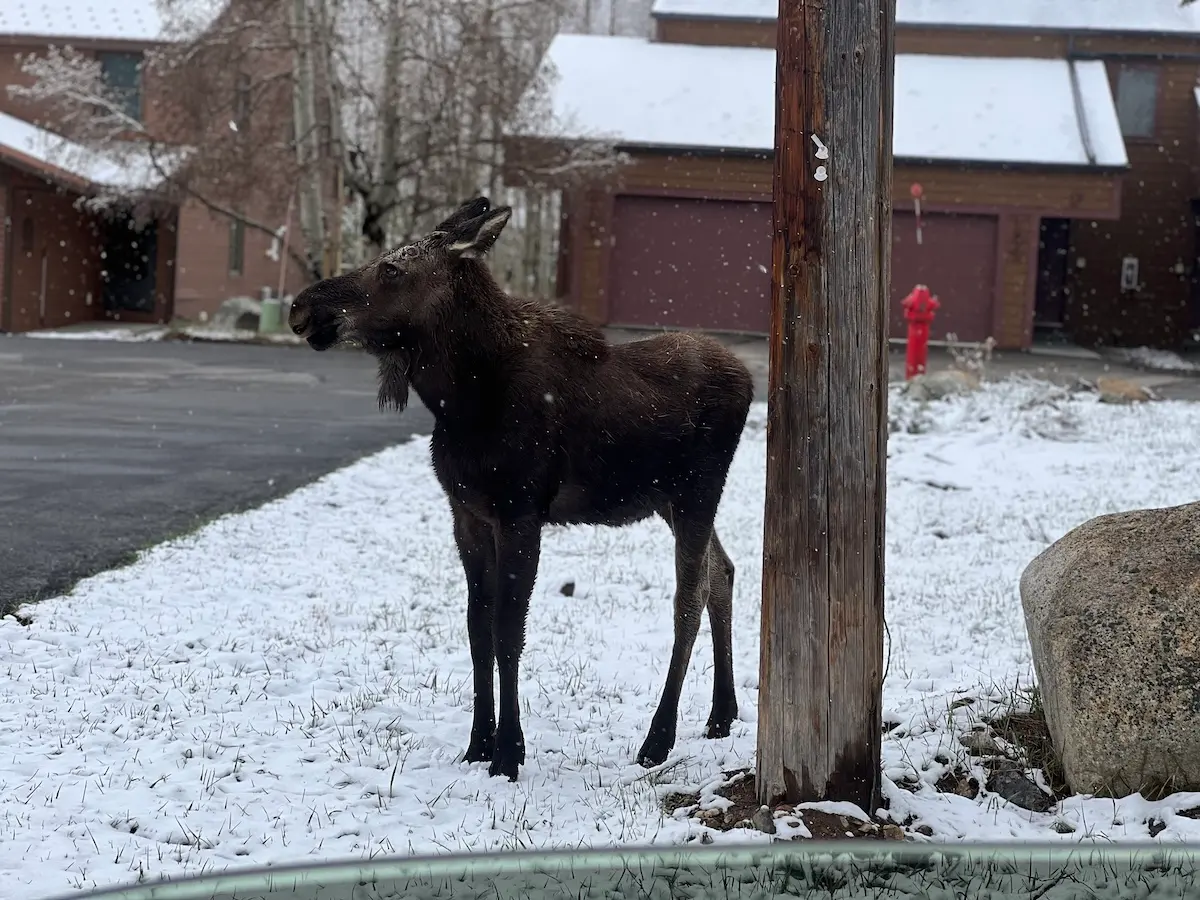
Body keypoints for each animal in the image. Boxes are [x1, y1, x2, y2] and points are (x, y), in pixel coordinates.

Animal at [288, 197, 754, 781]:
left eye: (392, 268)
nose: (300, 308)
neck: (457, 401)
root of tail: (750, 380)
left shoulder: (520, 513)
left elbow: (509, 632)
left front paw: (509, 752)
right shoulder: (467, 516)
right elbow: (476, 630)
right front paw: (476, 745)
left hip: (698, 489)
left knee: (689, 596)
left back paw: (658, 739)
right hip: (669, 499)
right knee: (724, 573)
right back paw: (721, 714)